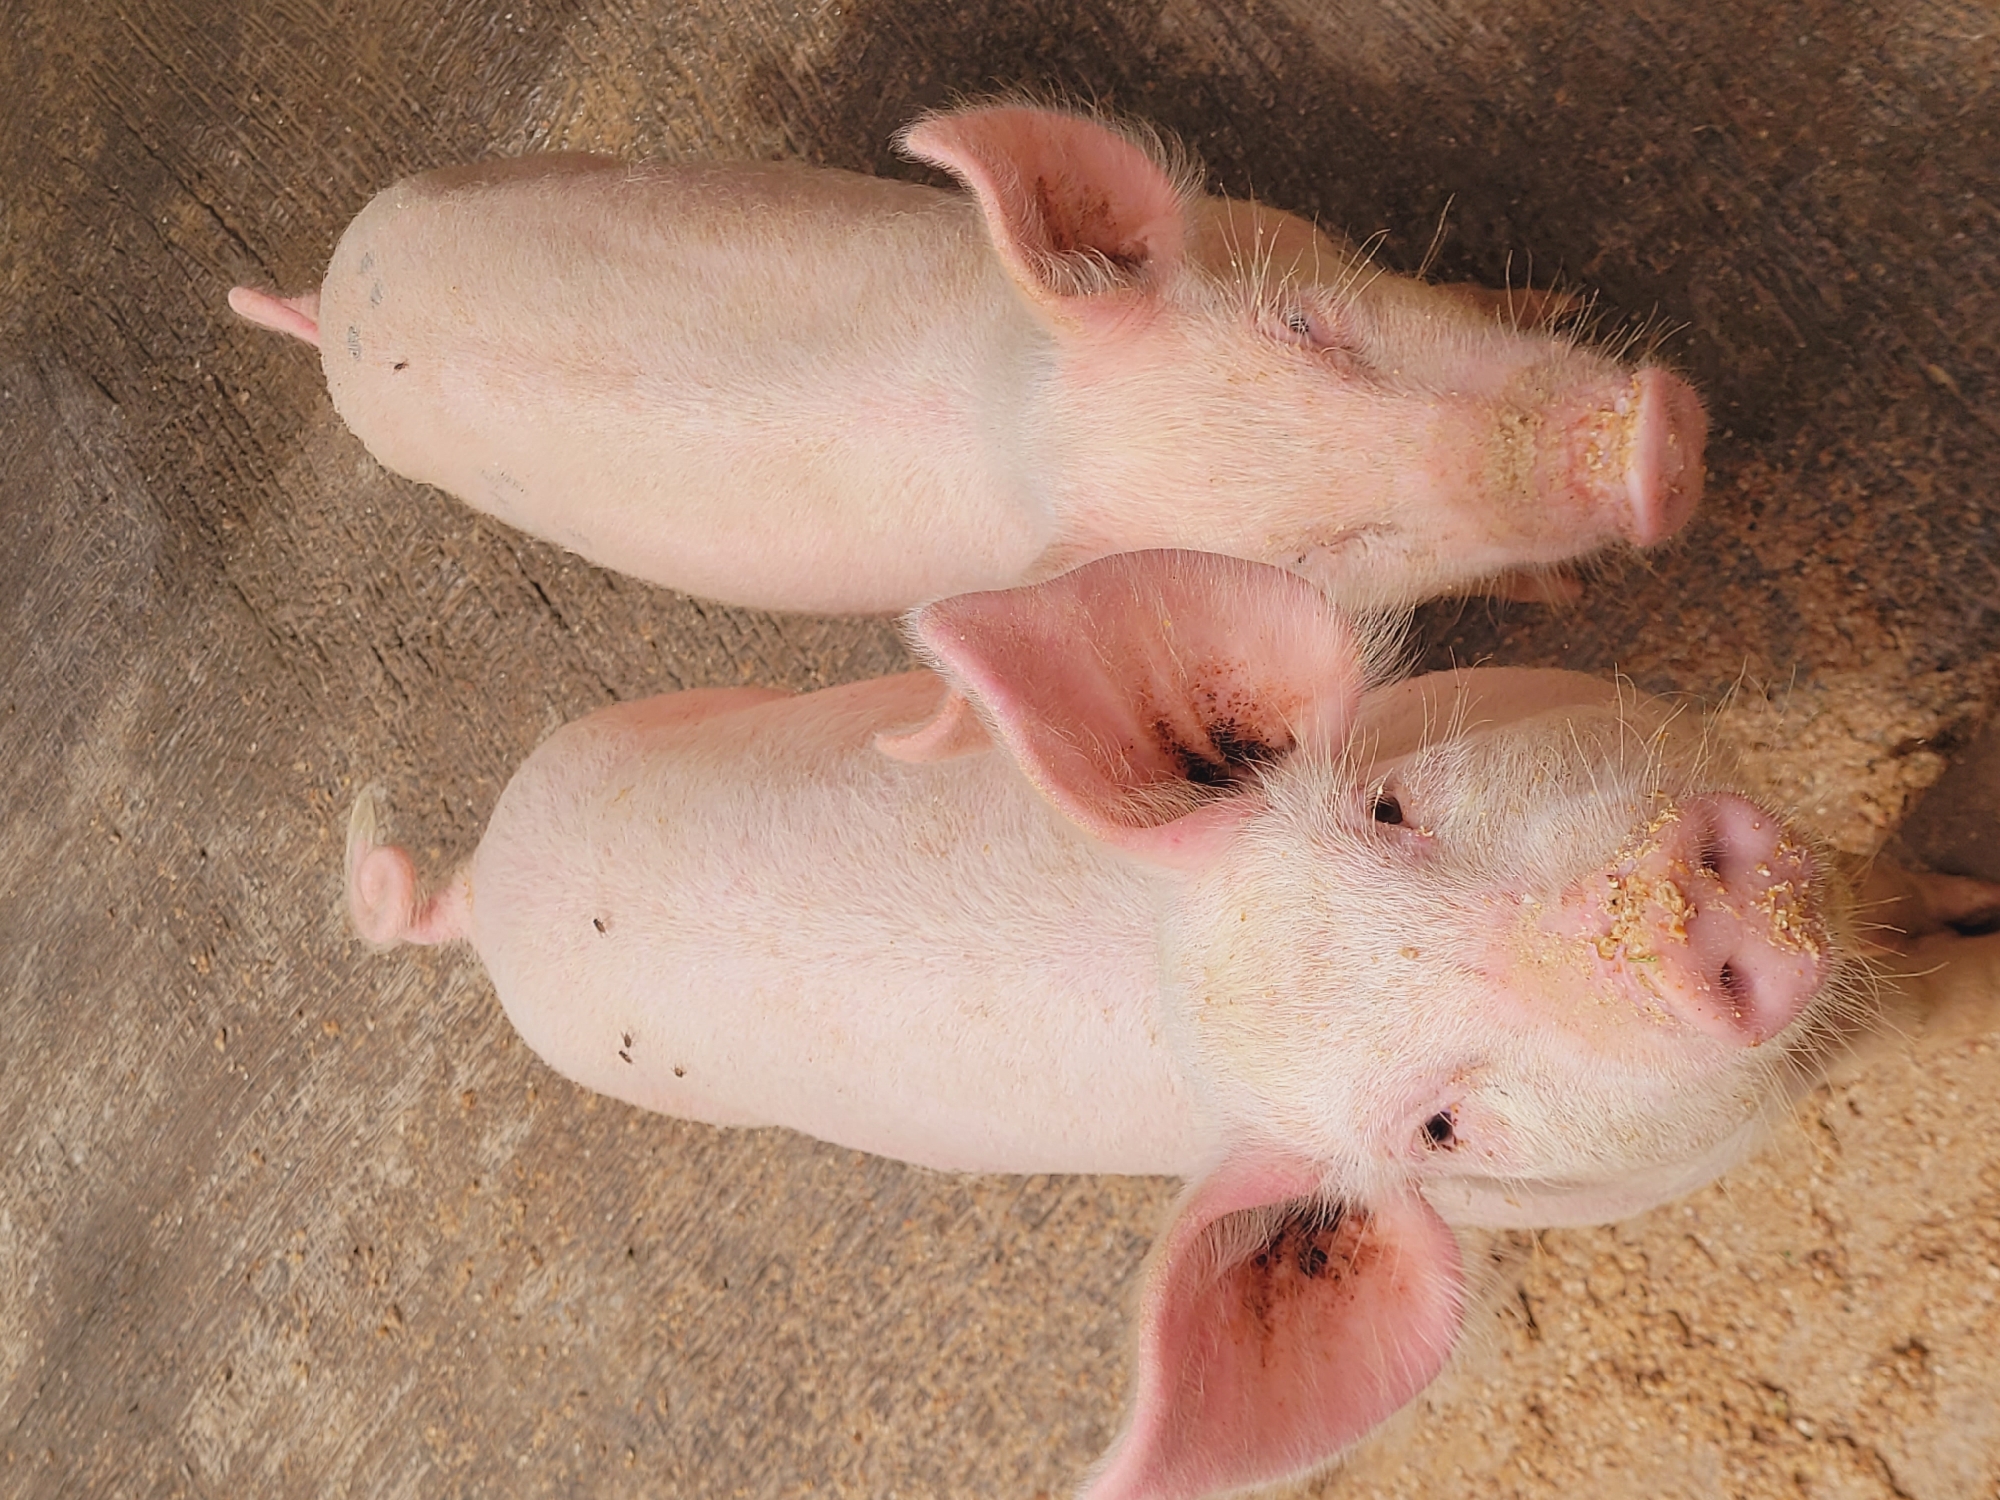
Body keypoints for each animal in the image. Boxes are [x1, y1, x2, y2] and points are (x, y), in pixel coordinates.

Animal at [230, 102, 1706, 615]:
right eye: (1325, 557)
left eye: (1312, 326)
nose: (1654, 449)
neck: (1016, 430)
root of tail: (329, 300)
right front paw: (1566, 598)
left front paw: (1556, 284)